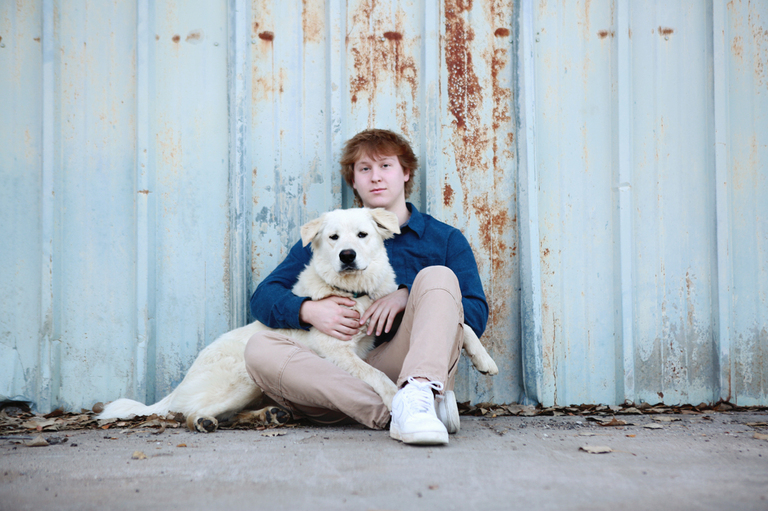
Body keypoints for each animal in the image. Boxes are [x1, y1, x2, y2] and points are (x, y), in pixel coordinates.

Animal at [99, 208, 499, 432]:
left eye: (363, 234)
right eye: (333, 237)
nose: (347, 254)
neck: (354, 292)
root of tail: (179, 385)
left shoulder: (387, 321)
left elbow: (463, 325)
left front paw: (485, 360)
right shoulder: (337, 350)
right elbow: (374, 374)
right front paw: (392, 395)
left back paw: (267, 416)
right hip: (241, 376)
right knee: (188, 413)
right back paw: (206, 421)